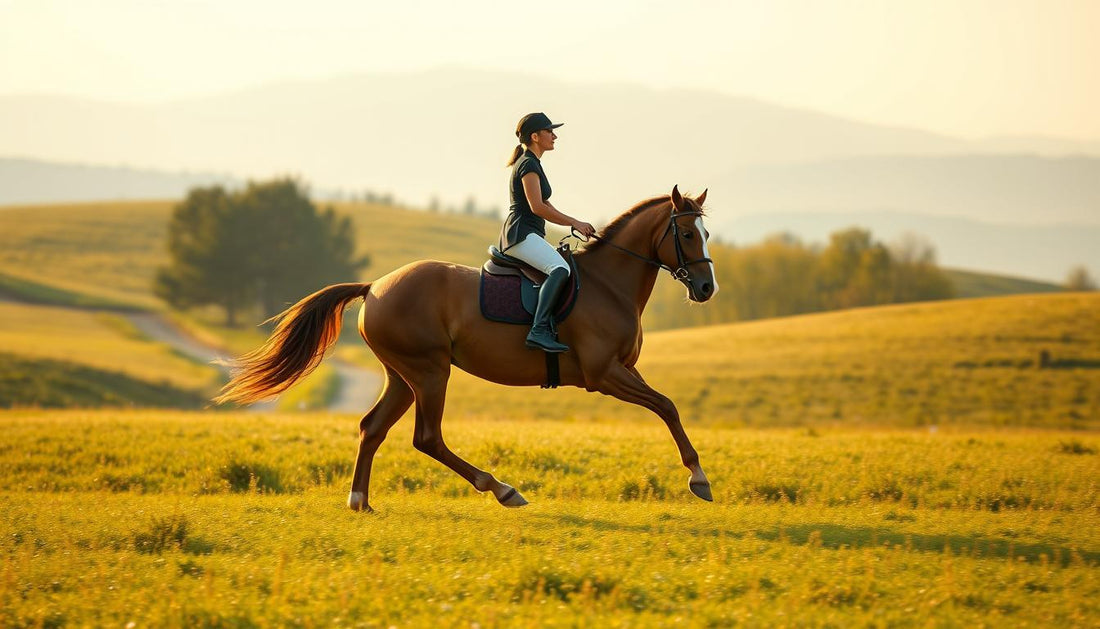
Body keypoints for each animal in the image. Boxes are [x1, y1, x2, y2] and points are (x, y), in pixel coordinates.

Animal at [216, 185, 718, 512]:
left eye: (706, 235)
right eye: (687, 235)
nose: (707, 289)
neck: (608, 284)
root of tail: (374, 286)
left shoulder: (623, 370)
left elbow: (667, 407)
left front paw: (698, 476)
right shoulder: (605, 375)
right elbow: (667, 406)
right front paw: (699, 478)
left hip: (403, 377)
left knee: (372, 428)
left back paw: (360, 502)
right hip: (430, 372)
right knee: (427, 438)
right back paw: (502, 489)